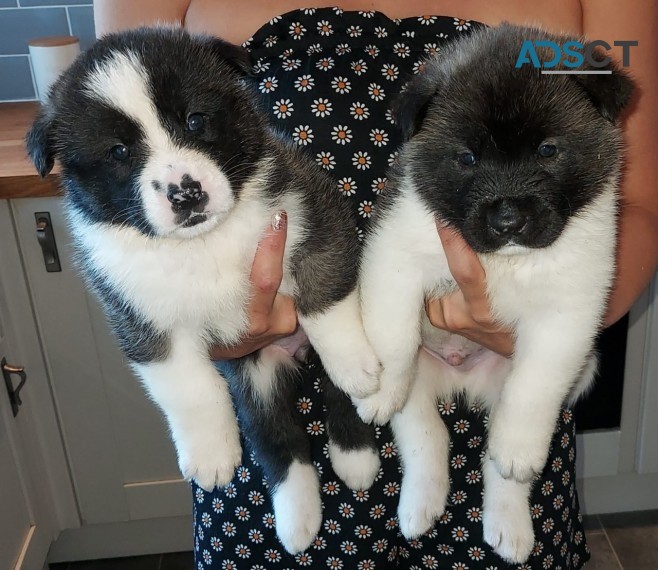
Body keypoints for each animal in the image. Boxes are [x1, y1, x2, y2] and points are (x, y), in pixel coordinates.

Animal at [26, 26, 380, 552]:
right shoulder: (139, 315)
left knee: (334, 396)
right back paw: (298, 520)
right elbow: (188, 387)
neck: (202, 243)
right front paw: (212, 456)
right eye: (118, 151)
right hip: (255, 374)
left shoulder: (314, 214)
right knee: (277, 439)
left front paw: (355, 364)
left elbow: (326, 301)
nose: (186, 193)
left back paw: (356, 456)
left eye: (195, 120)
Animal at [356, 24, 632, 560]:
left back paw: (510, 525)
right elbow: (393, 337)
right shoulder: (394, 258)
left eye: (547, 150)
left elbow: (534, 387)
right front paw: (379, 390)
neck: (505, 261)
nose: (507, 221)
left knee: (496, 462)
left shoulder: (569, 310)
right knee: (426, 435)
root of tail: (461, 379)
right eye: (467, 158)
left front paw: (518, 450)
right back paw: (420, 505)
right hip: (423, 382)